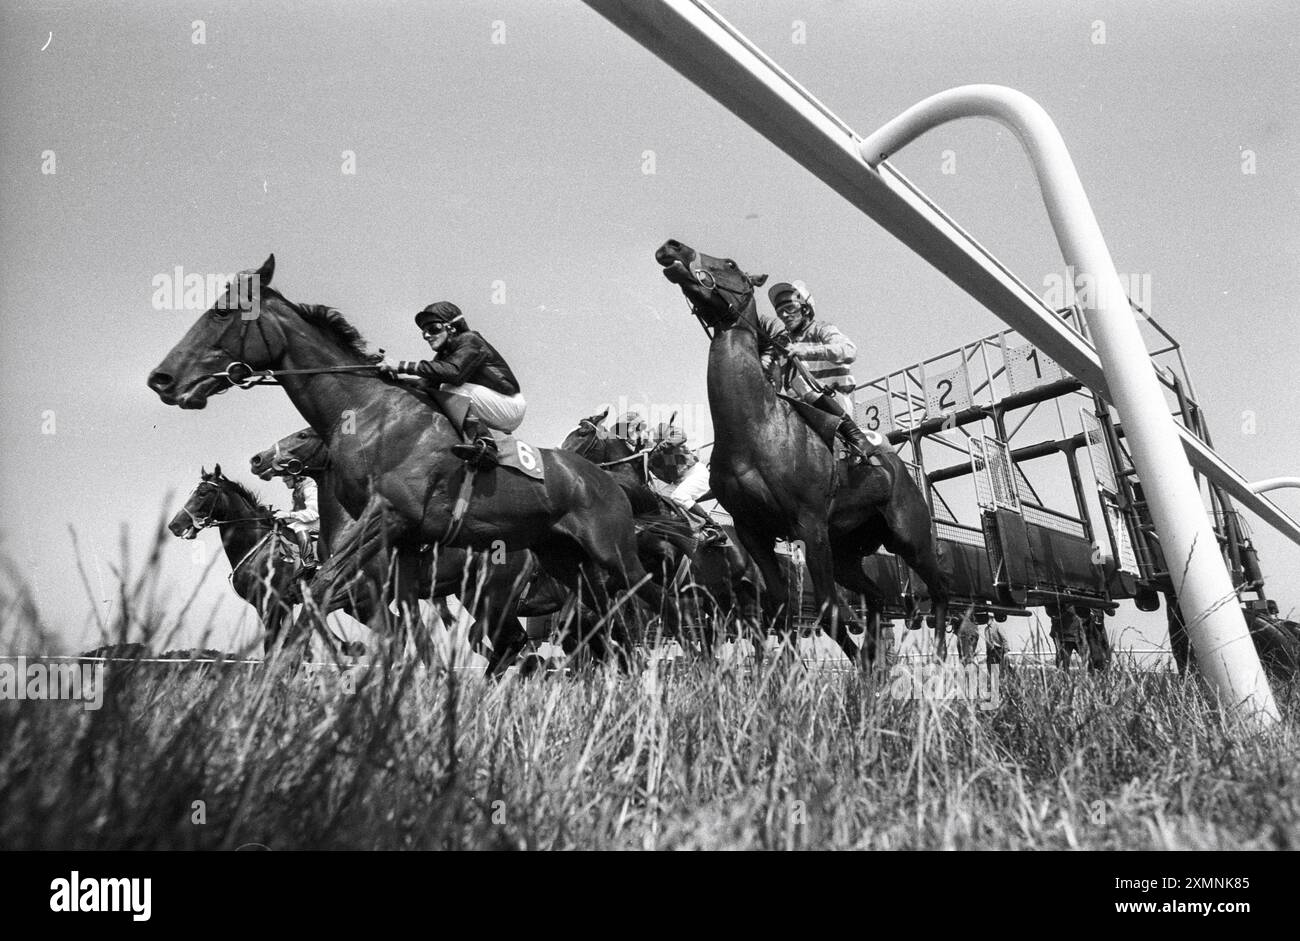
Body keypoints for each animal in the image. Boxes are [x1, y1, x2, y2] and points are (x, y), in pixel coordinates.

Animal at [248, 426, 569, 675]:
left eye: (303, 435)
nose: (258, 459)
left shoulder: (365, 593)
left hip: (494, 594)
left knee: (510, 640)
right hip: (474, 595)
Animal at [655, 239, 951, 665]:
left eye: (730, 263)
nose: (673, 248)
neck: (755, 429)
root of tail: (899, 468)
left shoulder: (809, 525)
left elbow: (828, 608)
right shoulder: (754, 532)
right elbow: (782, 609)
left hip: (909, 536)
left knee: (940, 589)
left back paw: (942, 659)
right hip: (847, 552)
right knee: (878, 596)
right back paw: (876, 660)